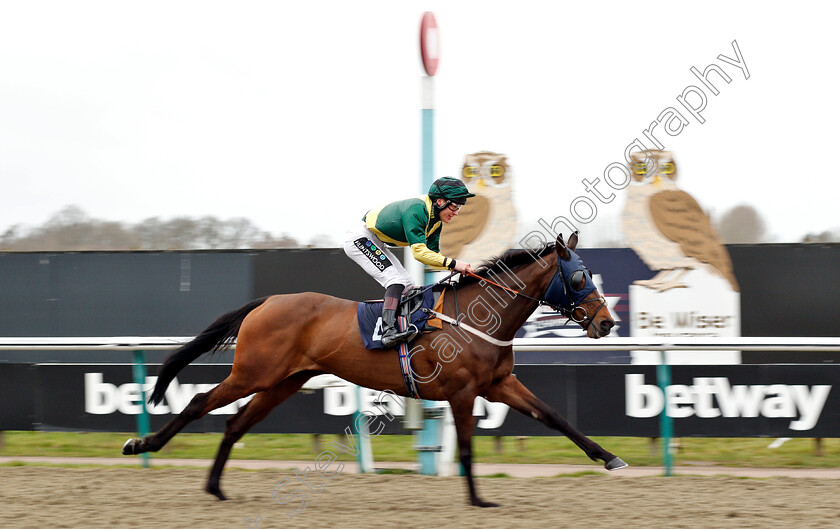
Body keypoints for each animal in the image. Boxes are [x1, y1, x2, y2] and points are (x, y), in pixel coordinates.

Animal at [121, 233, 628, 506]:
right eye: (579, 277)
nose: (607, 322)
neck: (481, 317)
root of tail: (267, 301)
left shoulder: (500, 384)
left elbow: (556, 417)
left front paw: (609, 457)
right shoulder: (463, 392)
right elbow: (466, 447)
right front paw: (478, 498)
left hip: (282, 383)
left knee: (234, 423)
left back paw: (215, 487)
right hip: (253, 373)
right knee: (199, 402)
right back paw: (142, 444)